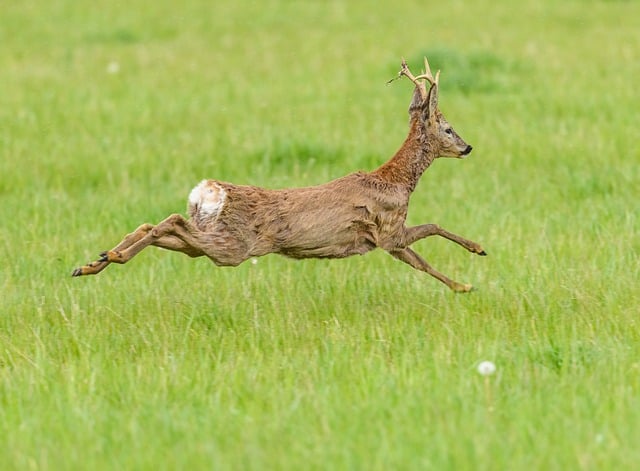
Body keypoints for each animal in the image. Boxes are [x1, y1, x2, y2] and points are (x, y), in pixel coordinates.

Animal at [71, 57, 484, 294]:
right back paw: (107, 257)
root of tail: (207, 192)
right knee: (168, 222)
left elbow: (425, 247)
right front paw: (468, 276)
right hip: (231, 246)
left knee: (158, 226)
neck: (396, 180)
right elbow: (429, 238)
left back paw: (94, 260)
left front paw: (468, 271)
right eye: (448, 128)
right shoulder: (387, 231)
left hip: (210, 240)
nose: (468, 147)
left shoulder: (384, 238)